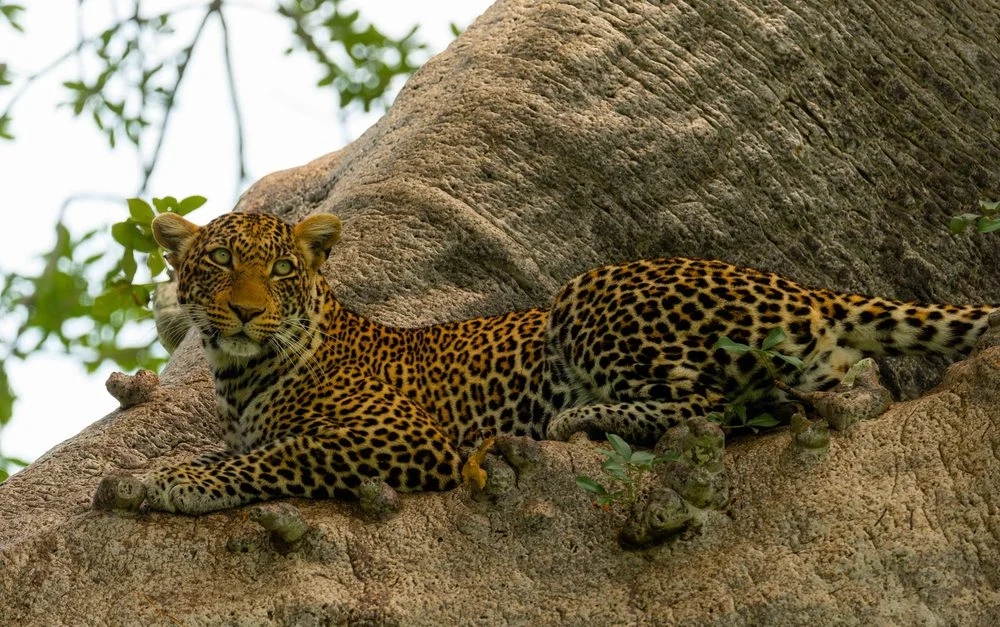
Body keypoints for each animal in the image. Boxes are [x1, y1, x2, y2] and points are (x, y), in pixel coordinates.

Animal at [129, 211, 993, 514]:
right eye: (219, 263)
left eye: (280, 270)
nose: (247, 311)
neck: (243, 374)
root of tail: (798, 285)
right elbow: (248, 447)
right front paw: (165, 469)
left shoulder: (406, 438)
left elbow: (280, 455)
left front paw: (180, 482)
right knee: (825, 388)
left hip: (586, 295)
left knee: (722, 403)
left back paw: (582, 417)